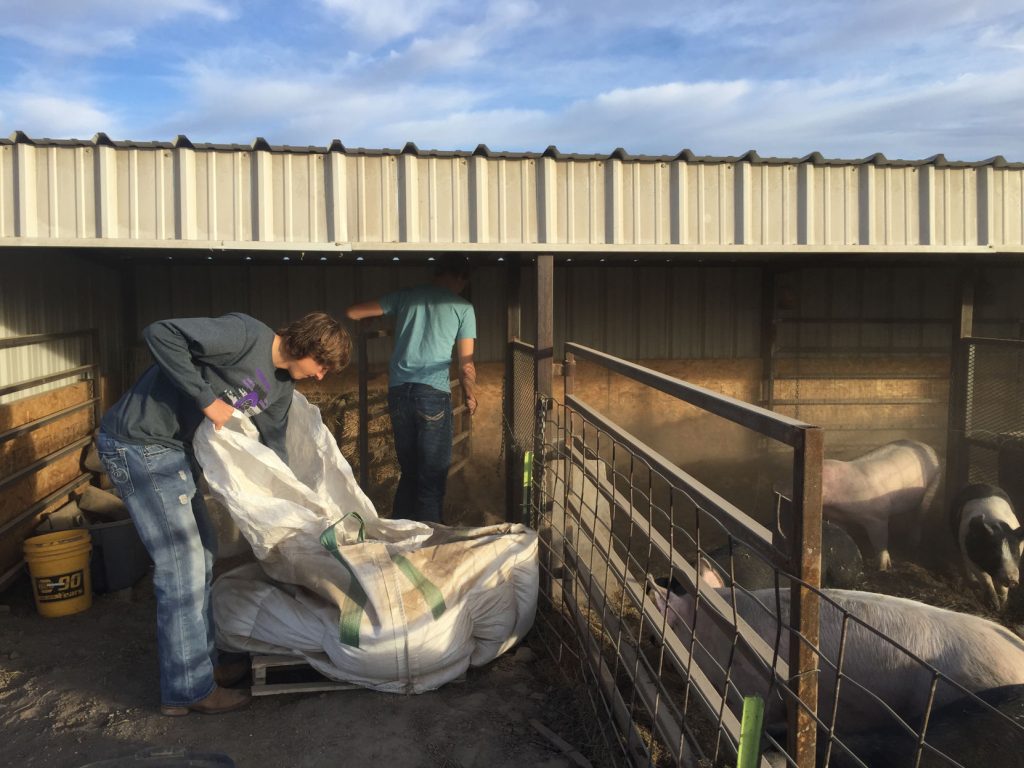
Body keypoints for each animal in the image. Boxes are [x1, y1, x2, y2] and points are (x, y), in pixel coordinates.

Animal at [946, 481, 1019, 614]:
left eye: (1015, 553)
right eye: (993, 554)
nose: (1012, 580)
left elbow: (1001, 587)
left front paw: (1003, 606)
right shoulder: (969, 553)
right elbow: (985, 579)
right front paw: (994, 607)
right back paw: (974, 582)